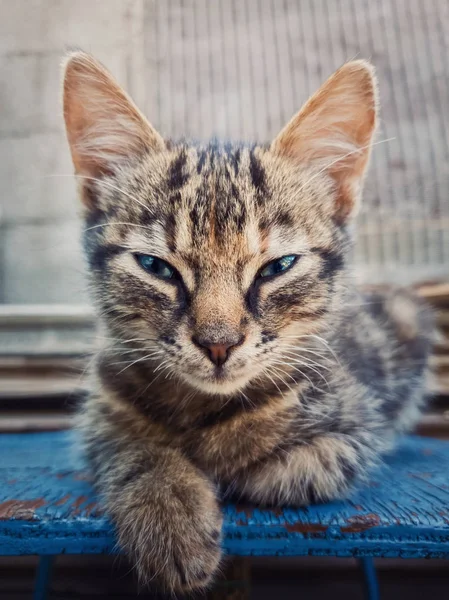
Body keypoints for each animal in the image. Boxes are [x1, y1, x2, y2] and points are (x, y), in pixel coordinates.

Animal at [62, 52, 430, 596]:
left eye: (278, 267)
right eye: (156, 267)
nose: (219, 344)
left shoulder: (358, 426)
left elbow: (301, 469)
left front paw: (229, 470)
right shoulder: (98, 416)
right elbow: (131, 447)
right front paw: (169, 508)